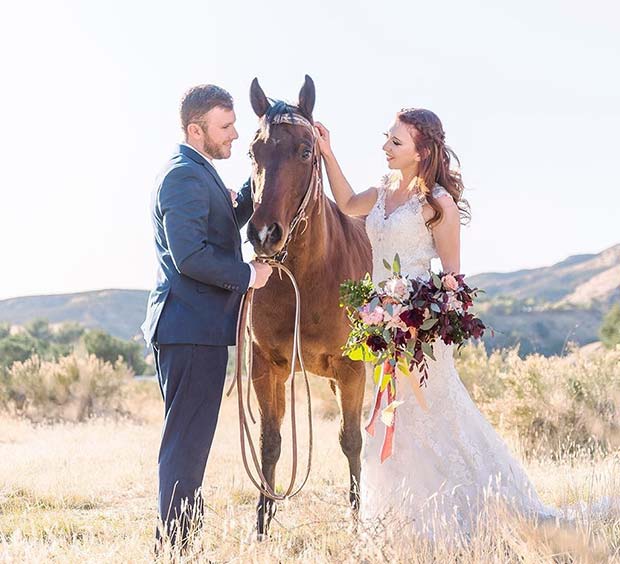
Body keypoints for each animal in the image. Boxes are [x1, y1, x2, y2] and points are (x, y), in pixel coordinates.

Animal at [246, 76, 372, 536]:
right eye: (253, 151)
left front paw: (357, 522)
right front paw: (262, 523)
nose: (264, 234)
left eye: (305, 150)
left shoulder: (352, 369)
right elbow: (270, 443)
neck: (306, 276)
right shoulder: (268, 367)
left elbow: (351, 441)